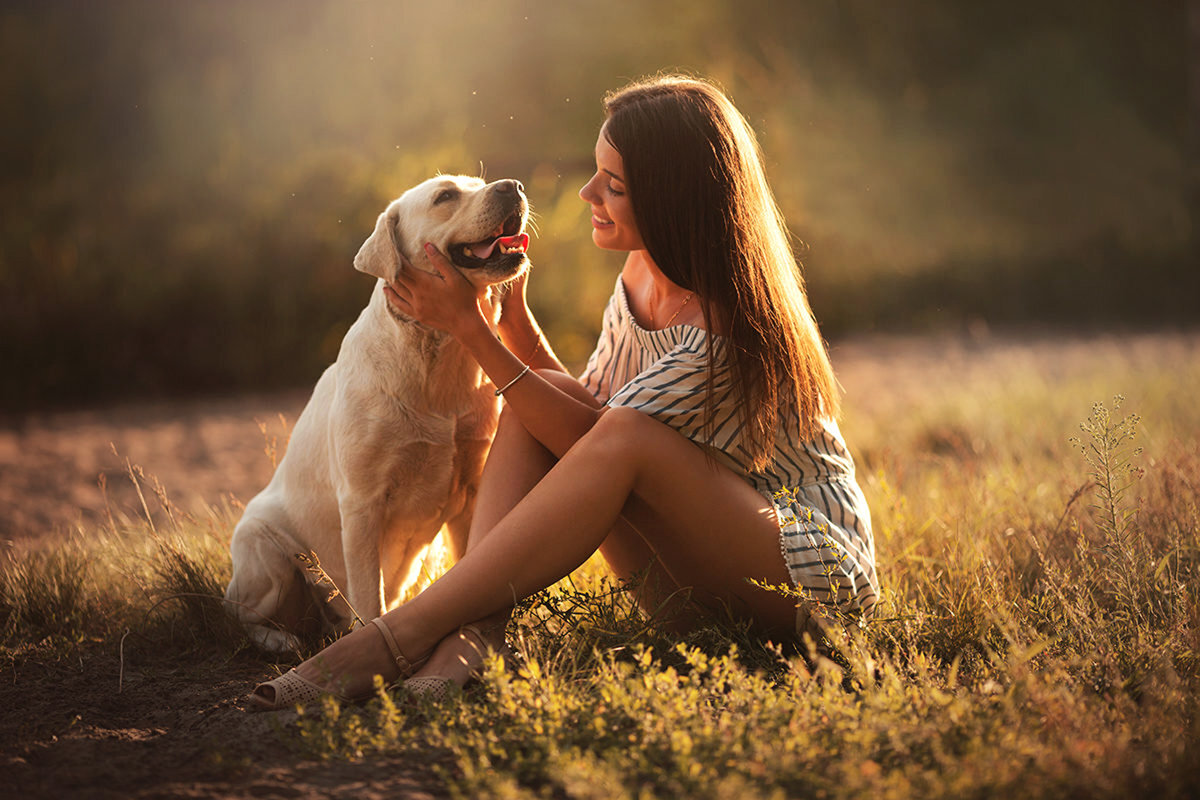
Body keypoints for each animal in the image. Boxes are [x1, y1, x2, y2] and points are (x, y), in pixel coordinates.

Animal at [224, 175, 530, 652]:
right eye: (445, 196)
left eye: (479, 184)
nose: (512, 185)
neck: (439, 353)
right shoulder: (362, 503)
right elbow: (370, 597)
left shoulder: (471, 492)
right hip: (264, 549)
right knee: (239, 615)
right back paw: (281, 641)